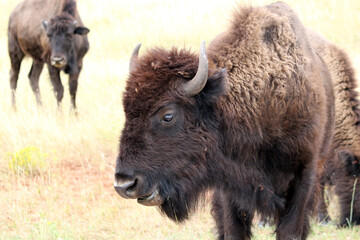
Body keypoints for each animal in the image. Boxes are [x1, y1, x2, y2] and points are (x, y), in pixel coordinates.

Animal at [114, 2, 334, 240]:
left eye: (168, 116)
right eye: (126, 111)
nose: (124, 184)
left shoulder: (305, 173)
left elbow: (290, 230)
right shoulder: (229, 185)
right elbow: (233, 229)